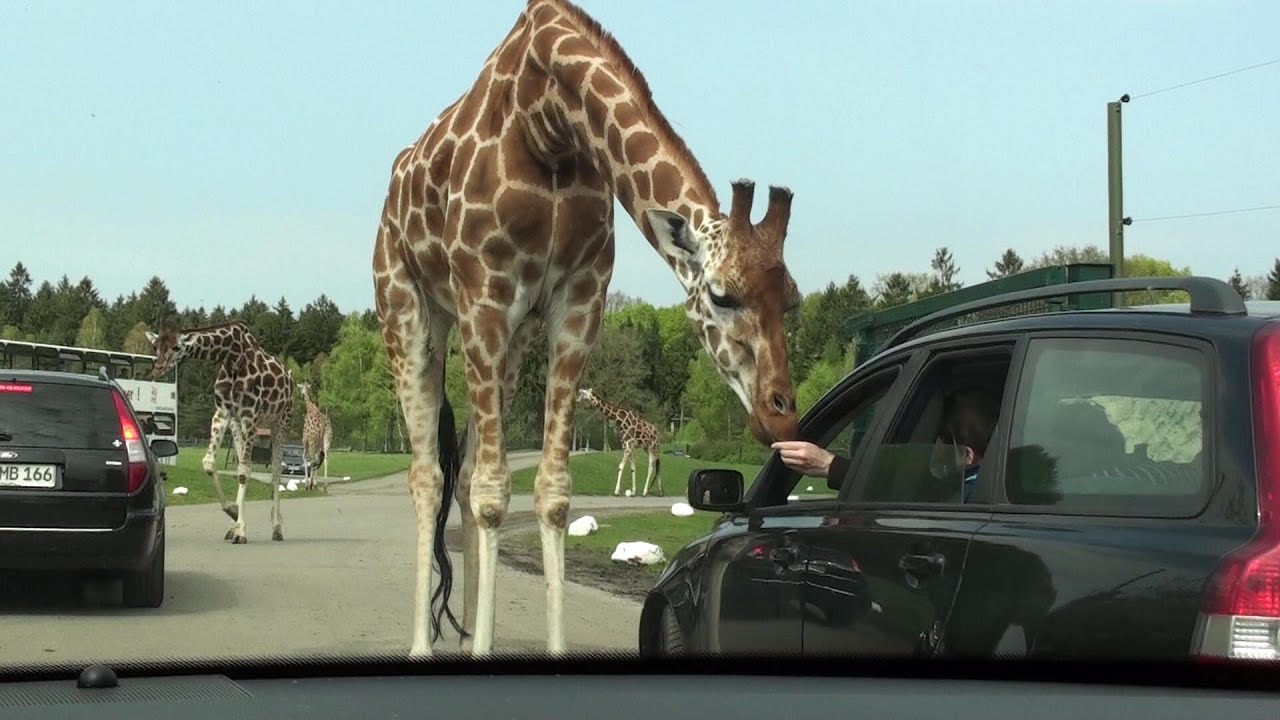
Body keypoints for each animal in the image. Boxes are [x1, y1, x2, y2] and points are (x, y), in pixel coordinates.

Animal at [146, 317, 293, 538]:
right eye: (155, 346)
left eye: (176, 346)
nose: (158, 369)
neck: (231, 356)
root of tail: (291, 379)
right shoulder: (223, 413)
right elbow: (210, 463)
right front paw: (234, 514)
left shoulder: (250, 415)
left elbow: (243, 472)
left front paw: (241, 531)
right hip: (238, 425)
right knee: (247, 464)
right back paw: (236, 526)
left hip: (279, 423)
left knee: (276, 471)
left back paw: (276, 528)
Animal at [371, 0, 803, 655]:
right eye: (722, 295)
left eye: (794, 302)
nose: (781, 416)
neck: (550, 124)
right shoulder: (484, 294)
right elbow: (494, 492)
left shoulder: (579, 300)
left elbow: (550, 492)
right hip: (409, 309)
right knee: (429, 476)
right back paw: (425, 646)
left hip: (514, 338)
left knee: (463, 475)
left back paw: (470, 634)